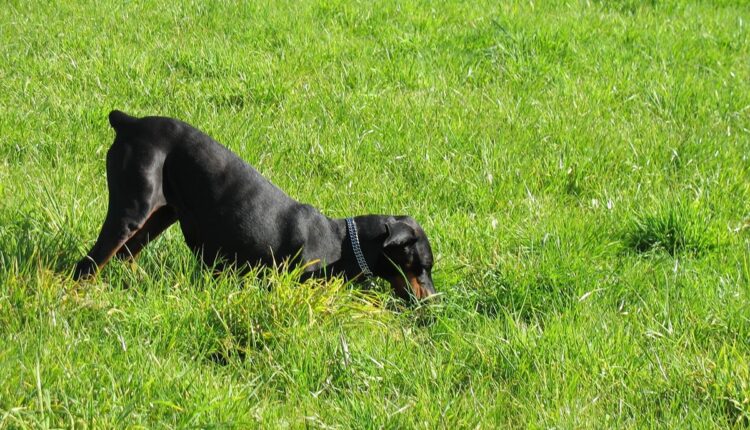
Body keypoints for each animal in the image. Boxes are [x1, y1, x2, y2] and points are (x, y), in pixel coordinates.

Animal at [73, 110, 438, 298]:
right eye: (421, 266)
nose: (435, 302)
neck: (343, 243)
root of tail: (128, 121)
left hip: (161, 215)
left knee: (124, 256)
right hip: (132, 210)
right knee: (88, 265)